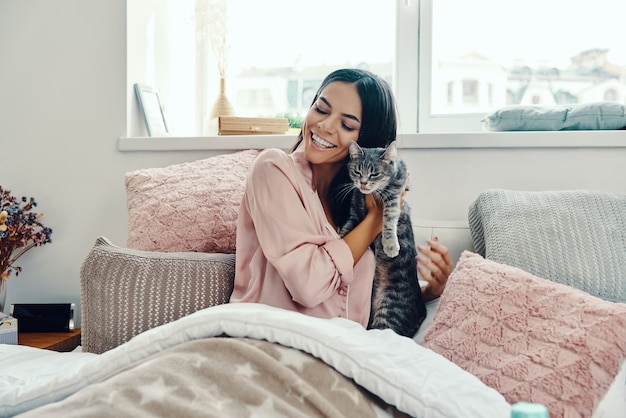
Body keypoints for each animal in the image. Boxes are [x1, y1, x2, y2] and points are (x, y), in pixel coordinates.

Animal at [336, 142, 424, 338]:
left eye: (374, 173)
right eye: (357, 171)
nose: (363, 183)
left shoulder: (395, 193)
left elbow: (389, 217)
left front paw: (390, 244)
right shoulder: (354, 213)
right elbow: (347, 228)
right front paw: (339, 238)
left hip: (388, 315)